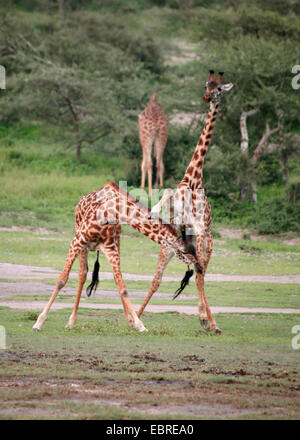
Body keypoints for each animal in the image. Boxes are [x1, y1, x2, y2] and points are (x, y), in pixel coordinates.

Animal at [32, 180, 202, 332]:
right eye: (185, 251)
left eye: (194, 249)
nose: (199, 267)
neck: (110, 212)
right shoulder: (77, 241)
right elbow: (61, 279)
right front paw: (39, 323)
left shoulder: (111, 249)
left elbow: (123, 288)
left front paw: (138, 324)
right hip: (81, 240)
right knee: (82, 274)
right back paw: (71, 321)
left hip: (116, 243)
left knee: (111, 278)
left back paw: (128, 320)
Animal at [137, 69, 233, 334]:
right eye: (205, 85)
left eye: (219, 89)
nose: (207, 98)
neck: (193, 178)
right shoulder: (177, 217)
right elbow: (166, 192)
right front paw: (152, 210)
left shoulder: (197, 228)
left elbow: (199, 273)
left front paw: (204, 318)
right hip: (172, 249)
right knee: (166, 278)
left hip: (206, 244)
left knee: (202, 274)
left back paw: (209, 322)